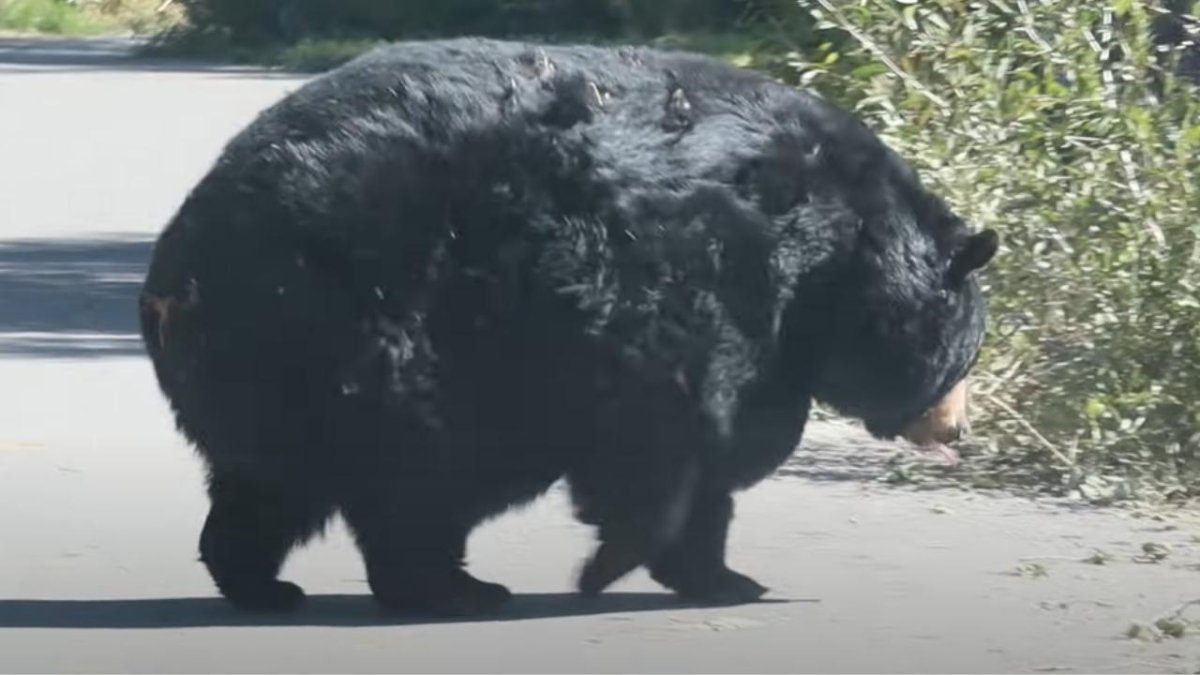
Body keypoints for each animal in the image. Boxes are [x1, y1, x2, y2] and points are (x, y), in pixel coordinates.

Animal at [138, 37, 998, 616]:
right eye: (967, 359)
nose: (960, 428)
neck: (841, 255)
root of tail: (176, 271)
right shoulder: (708, 290)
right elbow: (677, 440)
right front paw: (624, 567)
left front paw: (720, 574)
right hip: (369, 331)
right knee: (414, 478)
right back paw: (451, 587)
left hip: (284, 361)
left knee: (274, 485)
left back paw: (265, 581)